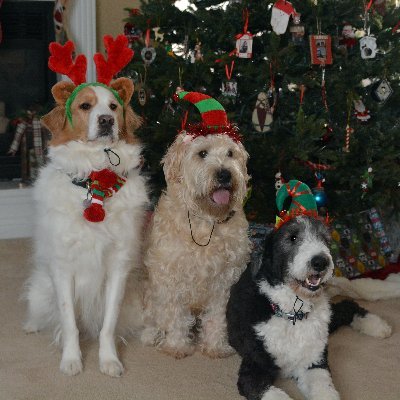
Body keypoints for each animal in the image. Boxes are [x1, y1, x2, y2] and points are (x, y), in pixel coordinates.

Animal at [23, 78, 148, 378]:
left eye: (113, 106)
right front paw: (71, 360)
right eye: (85, 106)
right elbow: (69, 322)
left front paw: (109, 359)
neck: (96, 179)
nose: (106, 121)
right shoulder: (62, 267)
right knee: (40, 311)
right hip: (40, 289)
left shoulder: (118, 267)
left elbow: (109, 324)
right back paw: (31, 325)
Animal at [141, 91, 250, 360]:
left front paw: (215, 346)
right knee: (153, 318)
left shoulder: (224, 283)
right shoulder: (171, 278)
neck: (205, 221)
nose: (224, 174)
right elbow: (175, 317)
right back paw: (152, 335)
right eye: (202, 153)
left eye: (230, 153)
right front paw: (177, 346)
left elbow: (217, 318)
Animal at [228, 216, 390, 400]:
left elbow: (324, 388)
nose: (320, 262)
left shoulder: (313, 361)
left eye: (325, 239)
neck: (292, 313)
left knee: (348, 306)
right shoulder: (253, 370)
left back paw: (377, 325)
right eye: (292, 237)